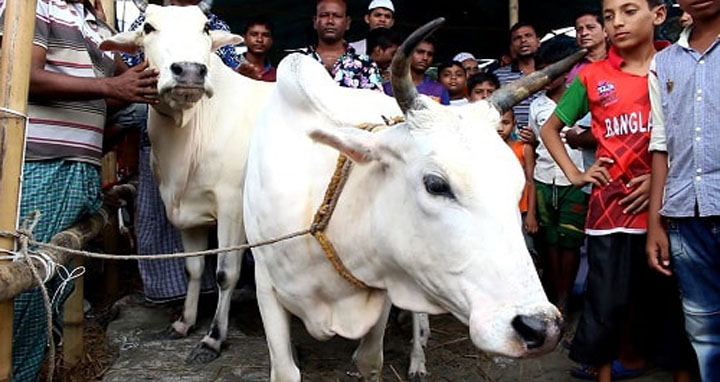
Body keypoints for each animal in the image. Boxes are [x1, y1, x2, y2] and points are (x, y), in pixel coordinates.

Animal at [100, 2, 272, 362]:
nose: (190, 72)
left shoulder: (233, 208)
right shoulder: (187, 212)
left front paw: (213, 339)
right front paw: (184, 322)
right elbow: (192, 269)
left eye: (206, 28)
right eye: (148, 27)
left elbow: (225, 274)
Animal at [245, 19, 584, 380]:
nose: (541, 327)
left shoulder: (383, 283)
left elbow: (370, 361)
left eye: (517, 185)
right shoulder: (265, 285)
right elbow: (285, 370)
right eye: (436, 184)